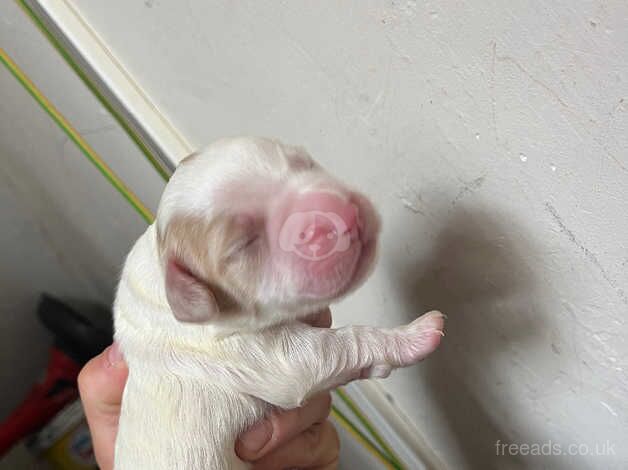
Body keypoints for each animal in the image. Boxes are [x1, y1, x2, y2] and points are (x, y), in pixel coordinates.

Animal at [114, 137, 446, 470]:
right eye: (243, 244)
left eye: (304, 163)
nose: (341, 214)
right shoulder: (248, 352)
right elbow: (330, 349)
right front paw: (415, 335)